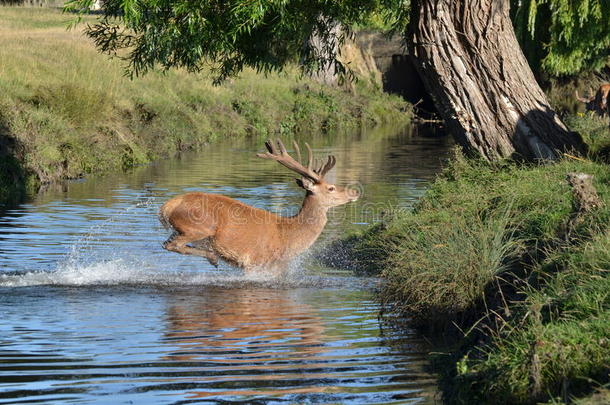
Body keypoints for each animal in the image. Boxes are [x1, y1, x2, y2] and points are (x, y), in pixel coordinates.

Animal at [157, 137, 358, 274]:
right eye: (331, 188)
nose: (355, 192)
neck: (288, 237)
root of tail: (168, 206)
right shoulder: (257, 262)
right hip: (199, 227)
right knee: (172, 245)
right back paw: (213, 258)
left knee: (167, 243)